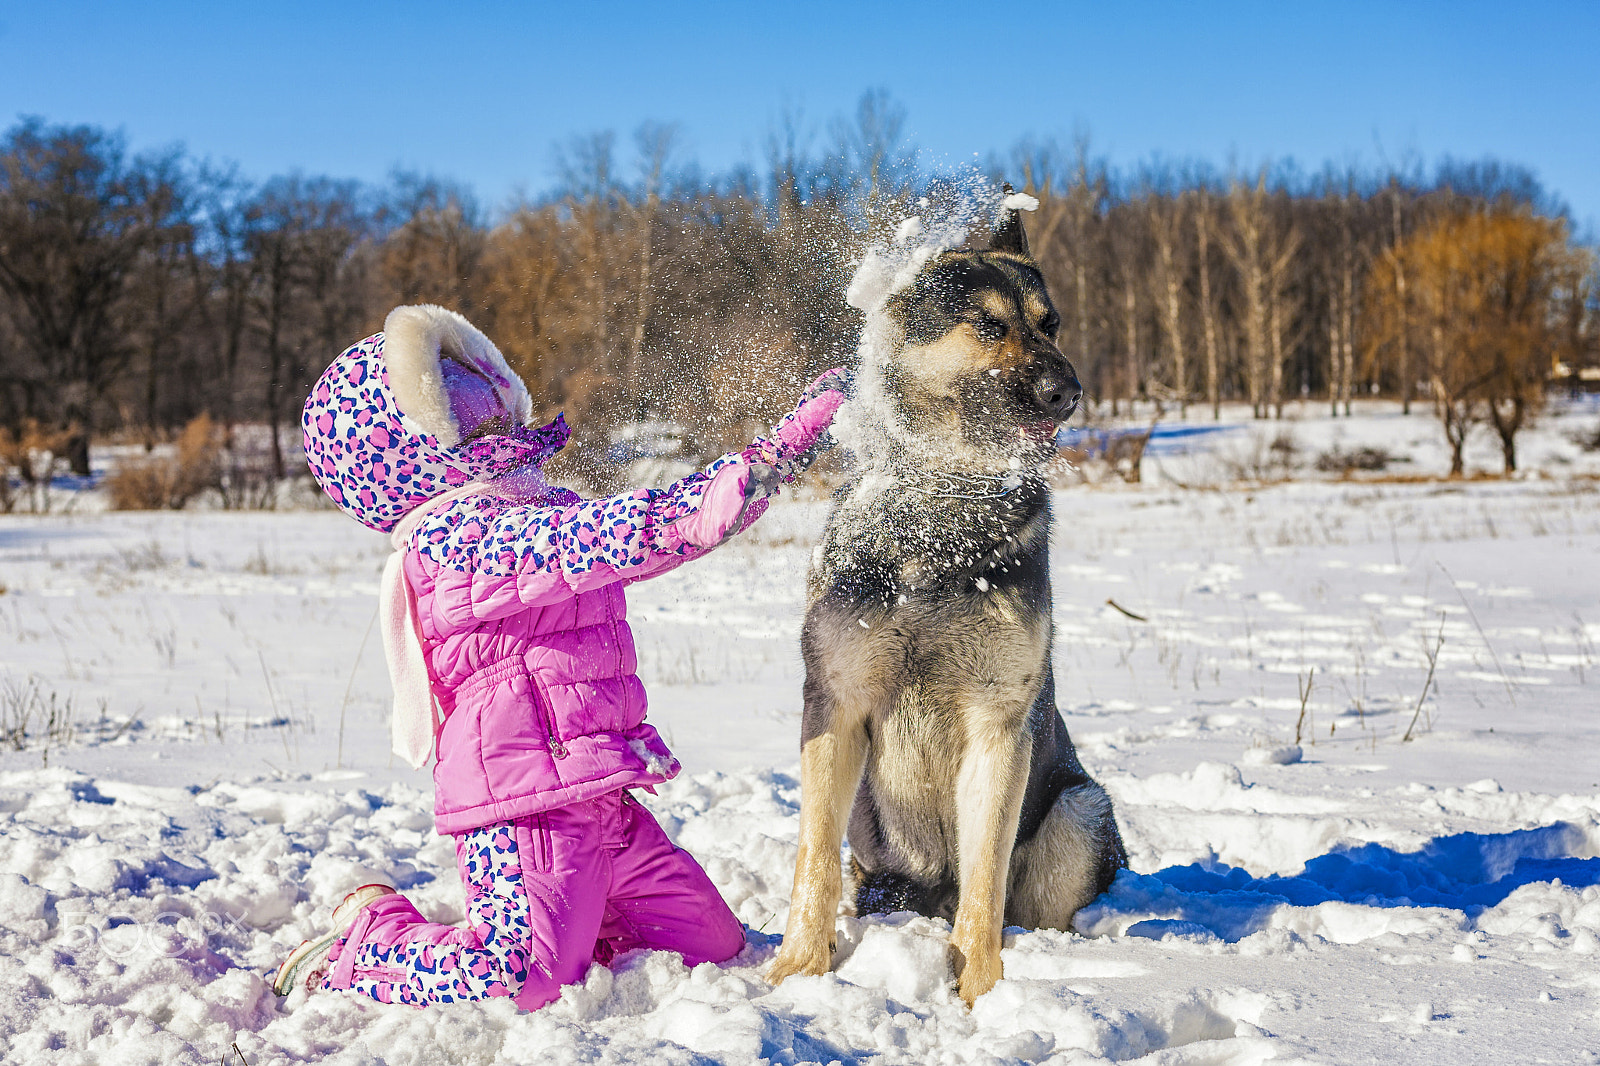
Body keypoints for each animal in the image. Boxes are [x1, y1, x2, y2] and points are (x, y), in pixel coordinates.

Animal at [771, 201, 1126, 1005]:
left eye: (1051, 323)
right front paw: (799, 970)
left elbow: (985, 878)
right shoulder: (834, 705)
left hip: (1078, 808)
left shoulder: (998, 727)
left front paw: (980, 990)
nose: (1068, 391)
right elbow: (812, 857)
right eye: (989, 327)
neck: (942, 513)